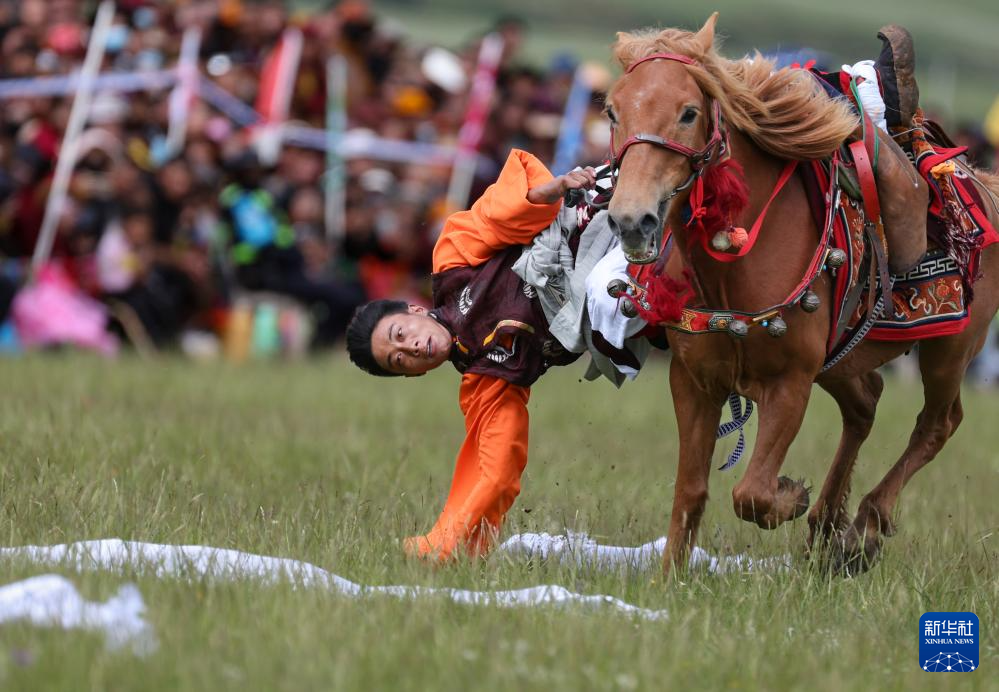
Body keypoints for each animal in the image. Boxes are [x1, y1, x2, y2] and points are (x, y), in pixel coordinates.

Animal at [604, 17, 999, 580]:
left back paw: (863, 528)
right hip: (843, 355)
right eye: (612, 112)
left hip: (951, 349)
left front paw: (790, 496)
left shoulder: (789, 382)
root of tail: (982, 185)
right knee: (865, 404)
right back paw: (828, 525)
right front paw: (669, 579)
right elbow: (691, 491)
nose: (631, 219)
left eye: (688, 112)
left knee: (937, 423)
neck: (736, 261)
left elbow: (751, 493)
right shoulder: (694, 380)